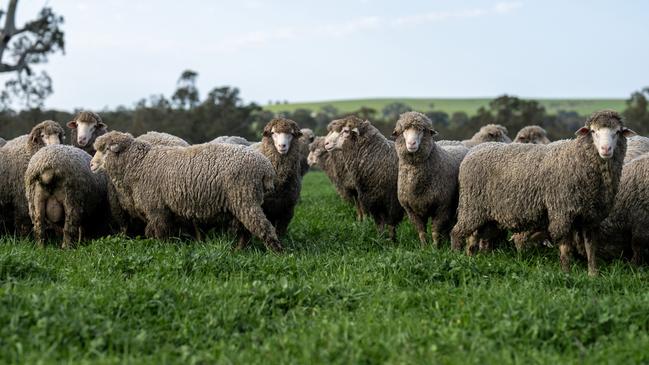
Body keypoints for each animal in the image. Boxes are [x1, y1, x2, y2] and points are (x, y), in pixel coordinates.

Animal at [90, 131, 280, 250]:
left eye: (104, 150)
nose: (91, 165)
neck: (139, 163)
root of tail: (265, 167)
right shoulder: (161, 210)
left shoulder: (157, 209)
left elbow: (159, 232)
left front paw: (162, 251)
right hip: (241, 201)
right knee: (245, 230)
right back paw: (238, 250)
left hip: (244, 197)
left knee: (262, 227)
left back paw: (277, 252)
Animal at [390, 112, 466, 246]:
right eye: (404, 130)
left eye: (421, 130)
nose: (412, 144)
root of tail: (455, 142)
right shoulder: (412, 210)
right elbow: (421, 232)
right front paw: (424, 246)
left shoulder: (442, 207)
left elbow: (435, 231)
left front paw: (435, 247)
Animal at [450, 109, 632, 274]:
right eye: (593, 132)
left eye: (617, 132)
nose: (606, 149)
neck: (577, 159)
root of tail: (474, 151)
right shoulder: (561, 212)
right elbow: (565, 248)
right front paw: (566, 274)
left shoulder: (591, 217)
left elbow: (591, 247)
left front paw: (593, 274)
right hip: (471, 207)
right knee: (457, 232)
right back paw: (456, 257)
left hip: (486, 214)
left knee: (474, 237)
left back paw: (472, 258)